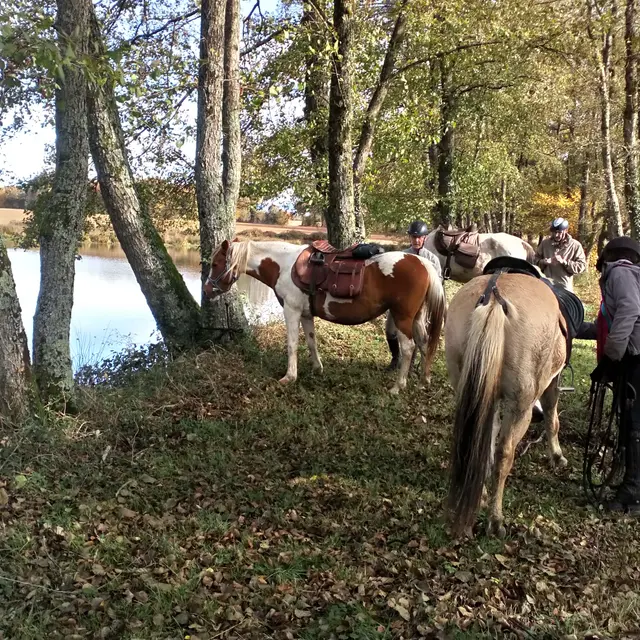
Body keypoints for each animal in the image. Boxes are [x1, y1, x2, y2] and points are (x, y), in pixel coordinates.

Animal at [203, 239, 446, 394]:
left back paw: (398, 387)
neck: (284, 265)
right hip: (417, 318)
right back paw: (423, 380)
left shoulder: (291, 310)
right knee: (424, 342)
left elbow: (292, 344)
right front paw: (317, 368)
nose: (206, 291)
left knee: (408, 348)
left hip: (402, 317)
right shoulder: (305, 314)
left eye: (215, 264)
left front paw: (289, 377)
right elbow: (311, 341)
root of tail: (422, 262)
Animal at [444, 272, 568, 537]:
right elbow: (552, 418)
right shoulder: (551, 384)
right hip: (521, 406)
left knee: (477, 444)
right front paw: (557, 456)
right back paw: (496, 519)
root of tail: (494, 297)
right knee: (504, 453)